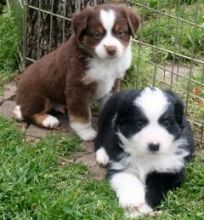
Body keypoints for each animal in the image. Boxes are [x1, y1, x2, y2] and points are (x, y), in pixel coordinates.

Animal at [13, 4, 140, 141]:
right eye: (97, 34)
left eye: (120, 33)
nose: (111, 50)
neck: (104, 62)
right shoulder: (77, 87)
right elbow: (82, 115)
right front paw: (87, 133)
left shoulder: (114, 83)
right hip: (38, 96)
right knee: (27, 112)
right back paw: (48, 120)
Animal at [95, 87, 194, 217]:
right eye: (139, 123)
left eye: (166, 123)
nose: (154, 146)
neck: (147, 157)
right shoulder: (120, 163)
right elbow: (128, 177)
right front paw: (131, 201)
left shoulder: (170, 171)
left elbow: (155, 188)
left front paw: (142, 209)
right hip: (105, 114)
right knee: (99, 137)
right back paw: (102, 155)